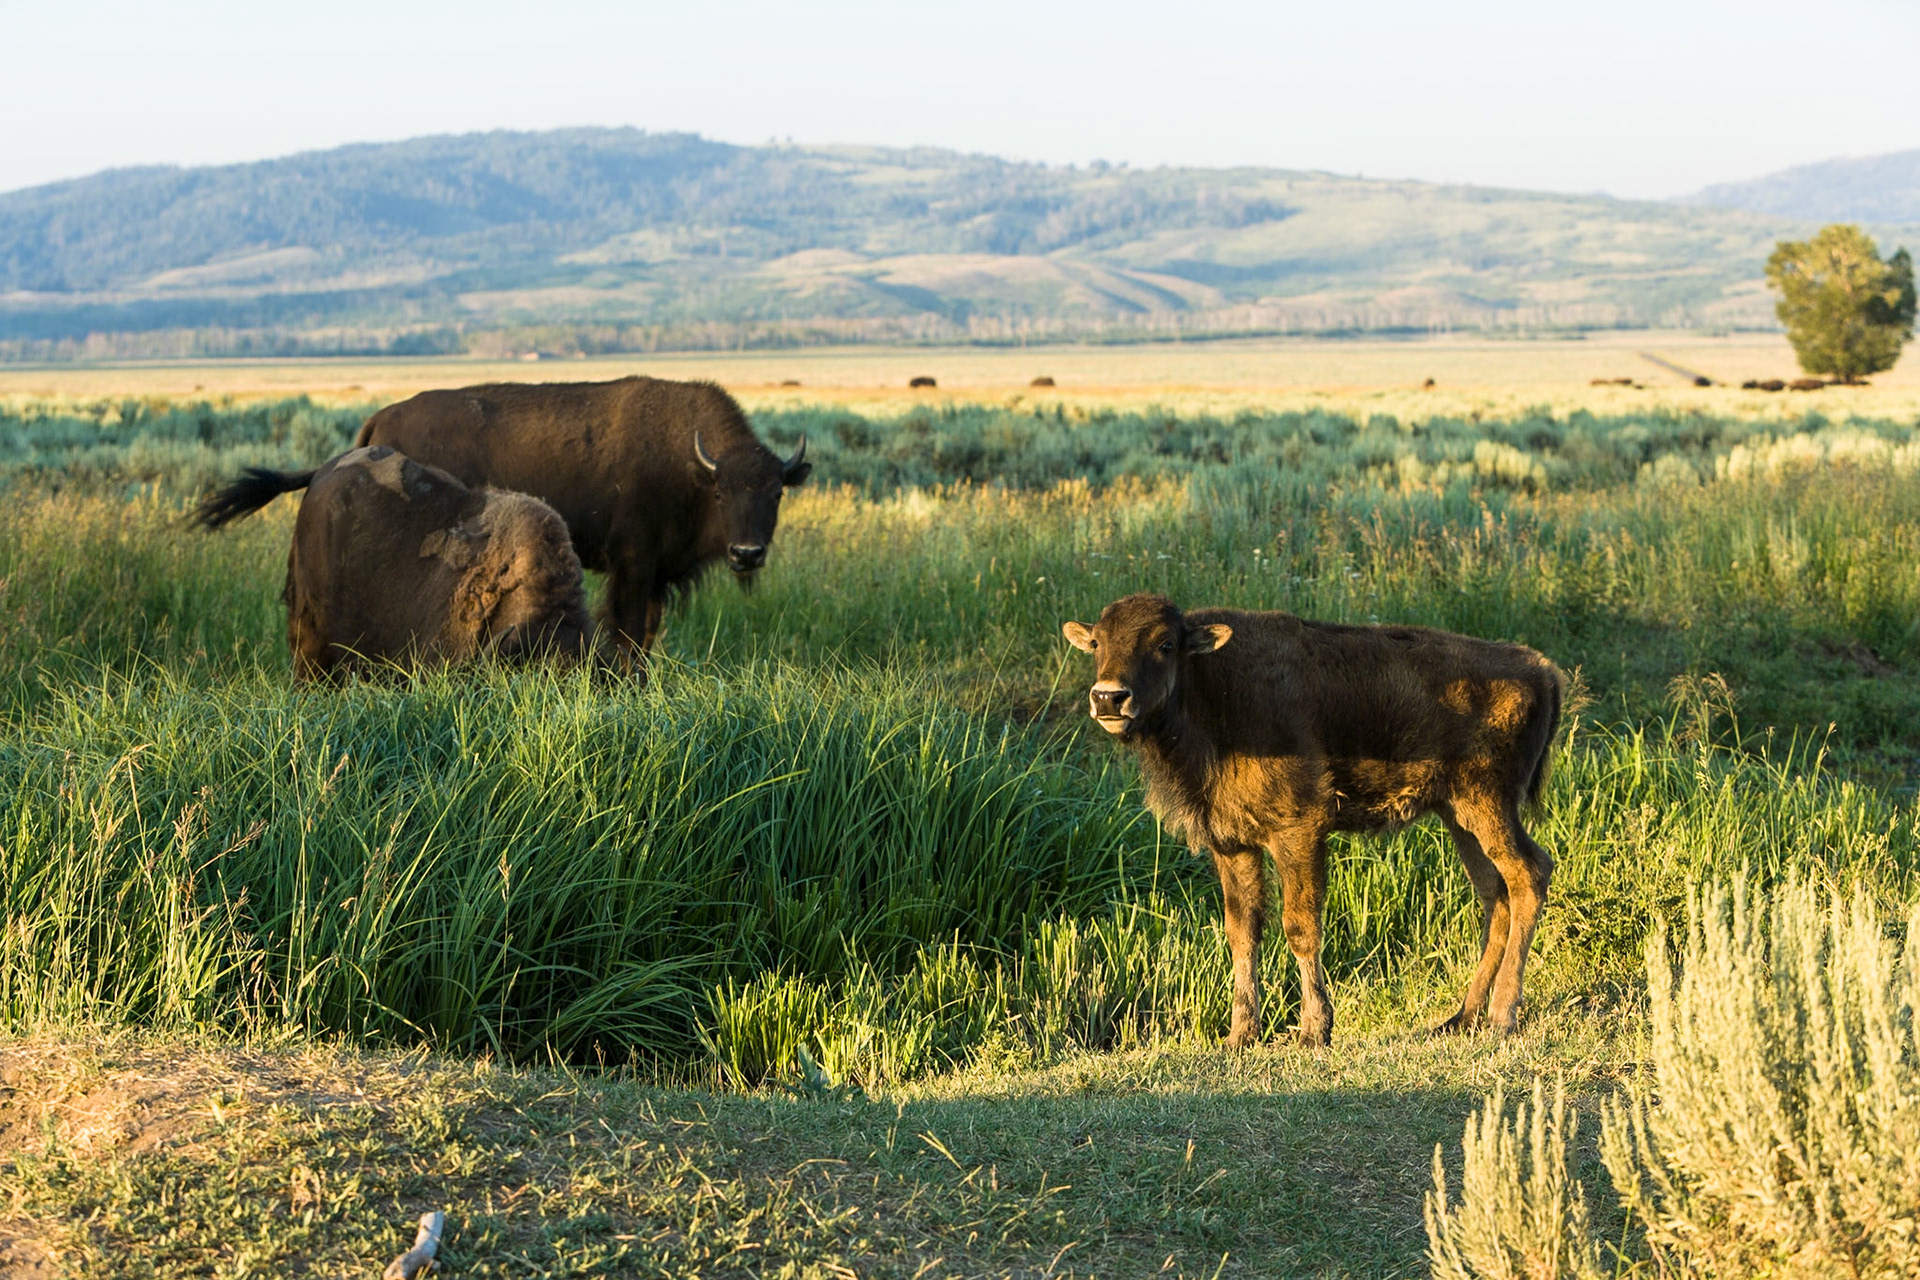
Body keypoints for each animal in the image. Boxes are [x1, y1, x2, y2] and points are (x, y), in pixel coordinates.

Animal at [351, 377, 809, 662]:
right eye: (720, 494)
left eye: (777, 493)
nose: (747, 554)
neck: (691, 466)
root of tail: (380, 418)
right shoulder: (632, 565)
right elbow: (627, 632)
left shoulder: (656, 576)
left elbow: (646, 632)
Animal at [1062, 593, 1565, 1046]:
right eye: (1098, 643)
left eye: (1165, 644)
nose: (1109, 698)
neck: (1212, 686)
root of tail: (1542, 671)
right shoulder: (1233, 844)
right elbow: (1242, 933)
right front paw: (1240, 1036)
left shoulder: (1298, 832)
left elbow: (1300, 928)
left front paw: (1313, 1031)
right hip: (1459, 816)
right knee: (1495, 894)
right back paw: (1461, 1017)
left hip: (1488, 805)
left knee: (1529, 874)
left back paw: (1501, 1017)